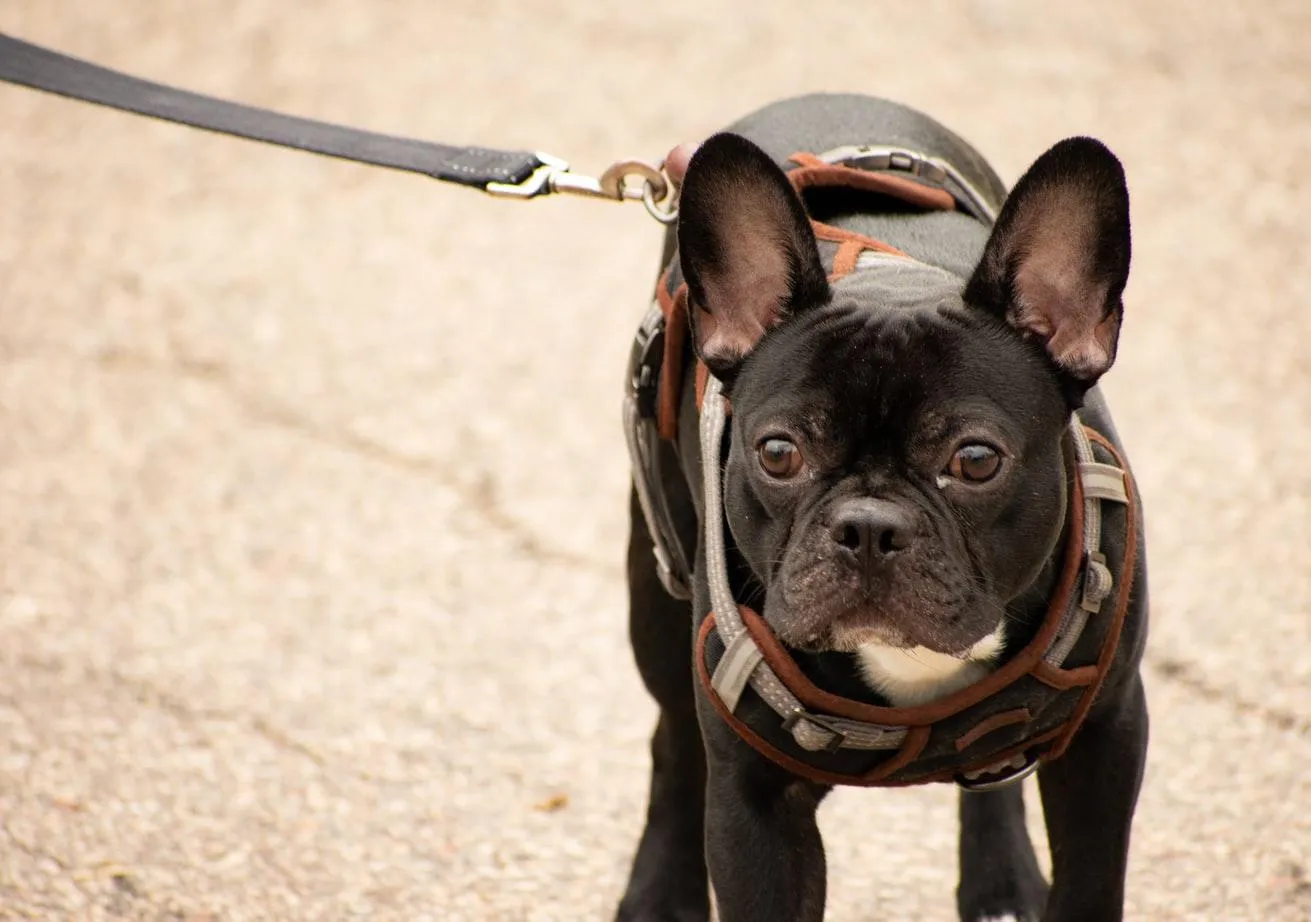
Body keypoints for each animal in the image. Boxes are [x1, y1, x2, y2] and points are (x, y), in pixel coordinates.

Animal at [613, 95, 1148, 922]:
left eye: (974, 461)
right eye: (777, 453)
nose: (867, 527)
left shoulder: (1107, 739)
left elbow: (1088, 889)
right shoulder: (753, 806)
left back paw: (1000, 880)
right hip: (658, 593)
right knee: (672, 741)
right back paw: (657, 893)